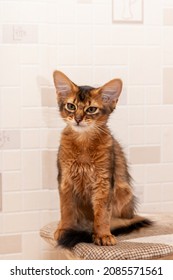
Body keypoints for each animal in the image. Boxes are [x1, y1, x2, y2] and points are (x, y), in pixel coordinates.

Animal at [52, 70, 151, 247]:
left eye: (91, 109)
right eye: (71, 106)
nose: (78, 119)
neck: (83, 143)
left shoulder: (103, 181)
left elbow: (102, 212)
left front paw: (103, 234)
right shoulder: (65, 180)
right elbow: (66, 209)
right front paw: (64, 229)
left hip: (124, 191)